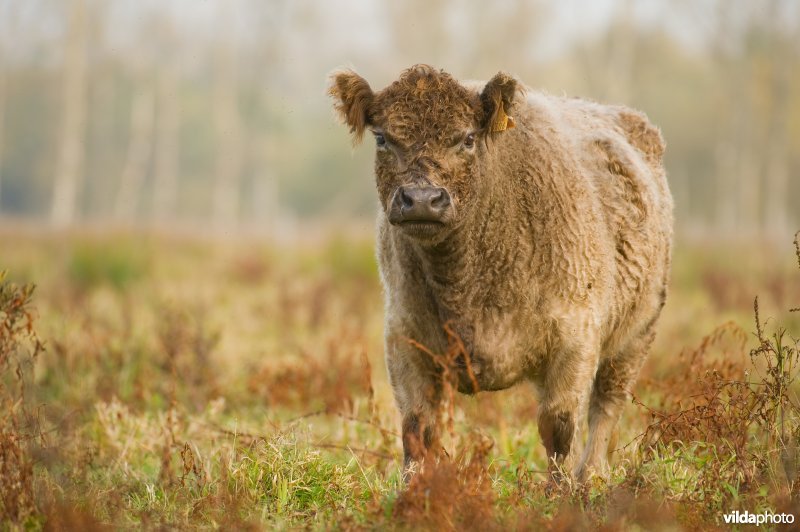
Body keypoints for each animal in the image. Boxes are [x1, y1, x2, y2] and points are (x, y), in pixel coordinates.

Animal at [328, 64, 672, 480]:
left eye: (467, 139)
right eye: (382, 138)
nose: (422, 199)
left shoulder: (577, 339)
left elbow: (560, 429)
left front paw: (561, 493)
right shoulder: (405, 341)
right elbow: (417, 429)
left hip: (636, 336)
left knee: (606, 407)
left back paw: (592, 475)